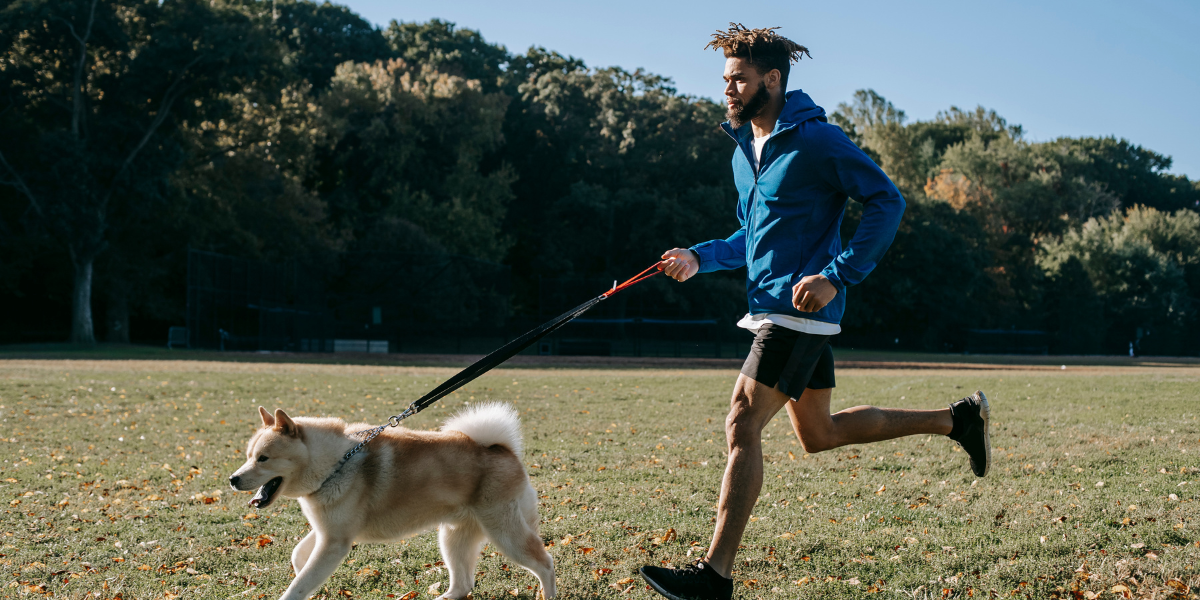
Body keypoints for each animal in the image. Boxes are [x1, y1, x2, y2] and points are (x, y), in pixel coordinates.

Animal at [226, 403, 554, 600]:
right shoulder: (327, 533)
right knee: (463, 586)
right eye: (248, 456)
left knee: (545, 563)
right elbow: (298, 557)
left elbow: (299, 585)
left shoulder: (335, 543)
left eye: (263, 458)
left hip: (505, 533)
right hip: (453, 538)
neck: (335, 463)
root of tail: (503, 450)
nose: (233, 479)